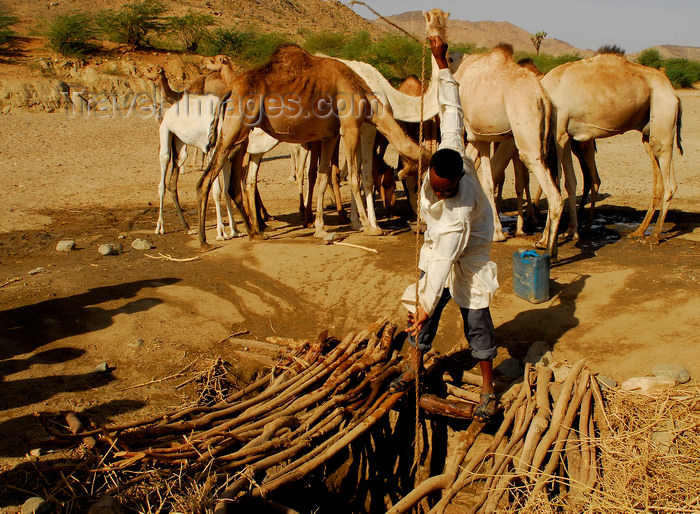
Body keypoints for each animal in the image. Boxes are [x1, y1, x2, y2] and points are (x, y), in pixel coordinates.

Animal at [194, 43, 430, 247]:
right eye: (417, 182)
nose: (421, 220)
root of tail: (229, 91)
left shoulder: (330, 135)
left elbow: (323, 177)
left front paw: (321, 229)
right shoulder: (351, 126)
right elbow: (355, 176)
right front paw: (370, 227)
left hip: (240, 137)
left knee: (236, 182)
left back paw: (255, 233)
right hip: (234, 130)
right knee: (207, 180)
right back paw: (206, 240)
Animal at [454, 40, 564, 258]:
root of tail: (542, 97)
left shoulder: (469, 133)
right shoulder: (481, 138)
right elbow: (487, 181)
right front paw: (496, 232)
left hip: (526, 135)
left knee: (554, 196)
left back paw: (548, 251)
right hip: (550, 138)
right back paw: (548, 244)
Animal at [536, 51, 684, 243]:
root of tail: (674, 95)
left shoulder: (558, 132)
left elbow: (556, 181)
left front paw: (545, 239)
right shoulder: (565, 136)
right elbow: (570, 182)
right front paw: (570, 232)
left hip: (664, 117)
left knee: (669, 181)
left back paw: (654, 236)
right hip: (648, 131)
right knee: (657, 175)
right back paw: (639, 231)